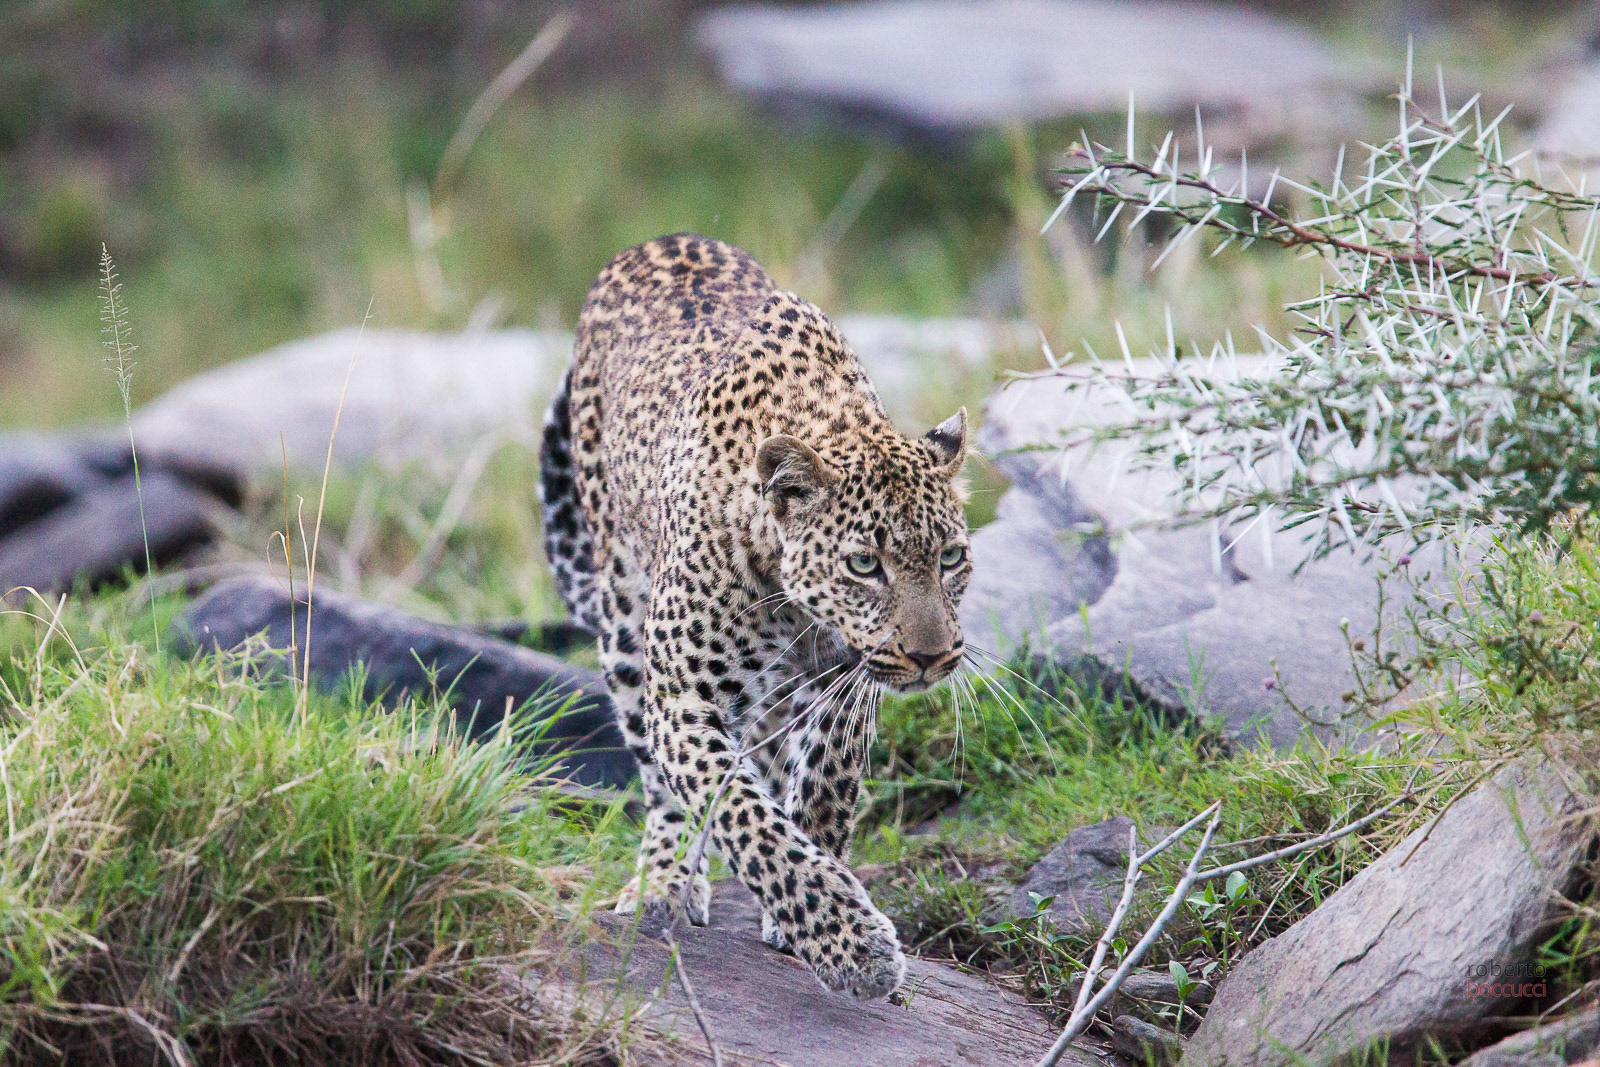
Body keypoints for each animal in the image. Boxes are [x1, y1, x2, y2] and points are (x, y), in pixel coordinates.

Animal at [538, 233, 971, 999]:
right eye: (866, 564)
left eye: (950, 556)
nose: (933, 657)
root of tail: (659, 239)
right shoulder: (685, 699)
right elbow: (742, 816)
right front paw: (848, 944)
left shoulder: (845, 684)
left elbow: (826, 787)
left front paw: (808, 908)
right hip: (623, 625)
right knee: (663, 787)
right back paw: (664, 881)